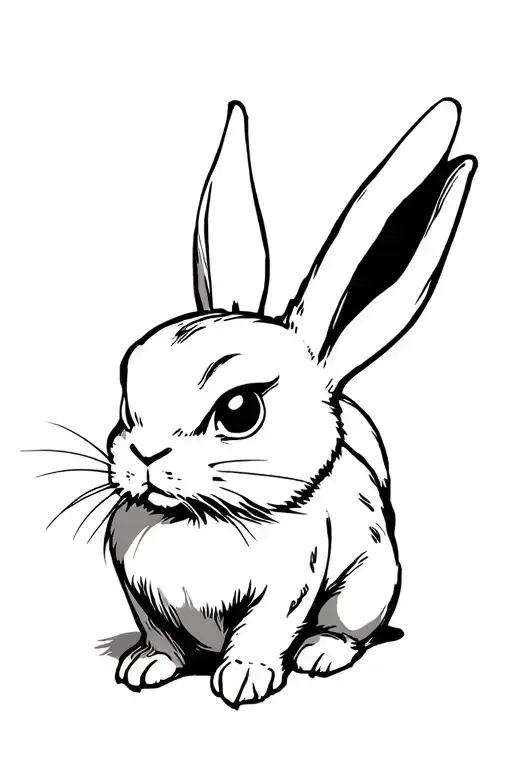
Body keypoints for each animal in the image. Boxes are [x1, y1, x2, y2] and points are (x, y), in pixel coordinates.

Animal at [103, 98, 476, 708]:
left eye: (240, 411)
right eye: (125, 392)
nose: (144, 458)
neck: (198, 517)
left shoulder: (288, 588)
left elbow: (264, 631)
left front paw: (243, 680)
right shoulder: (140, 595)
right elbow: (160, 635)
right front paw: (145, 667)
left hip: (367, 587)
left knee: (350, 630)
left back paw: (322, 654)